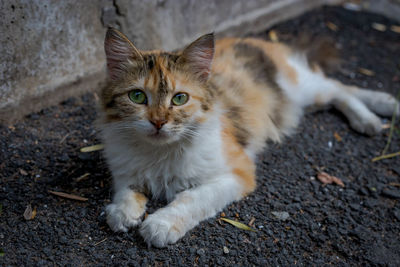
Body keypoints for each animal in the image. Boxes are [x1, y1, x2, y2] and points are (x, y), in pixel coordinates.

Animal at [98, 27, 398, 249]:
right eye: (137, 96)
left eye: (179, 98)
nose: (159, 122)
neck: (159, 153)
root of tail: (257, 40)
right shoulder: (124, 170)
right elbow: (125, 191)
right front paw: (122, 214)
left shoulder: (237, 174)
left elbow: (191, 199)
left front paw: (160, 225)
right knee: (338, 91)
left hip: (303, 88)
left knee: (340, 87)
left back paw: (377, 113)